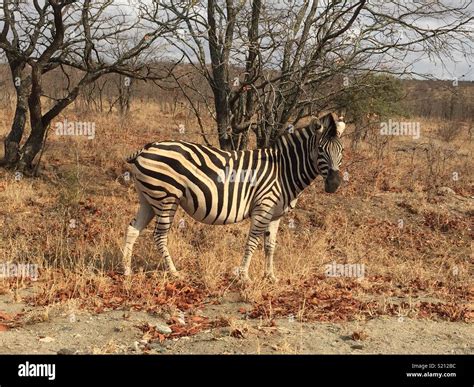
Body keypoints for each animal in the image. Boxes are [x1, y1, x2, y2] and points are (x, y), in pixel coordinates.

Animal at [122, 112, 344, 282]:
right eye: (320, 150)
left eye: (341, 151)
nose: (334, 184)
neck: (283, 171)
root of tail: (146, 147)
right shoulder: (263, 207)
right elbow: (252, 242)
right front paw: (244, 276)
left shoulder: (276, 214)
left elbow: (270, 246)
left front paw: (270, 276)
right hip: (166, 198)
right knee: (159, 236)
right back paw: (174, 272)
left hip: (148, 199)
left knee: (132, 230)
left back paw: (126, 270)